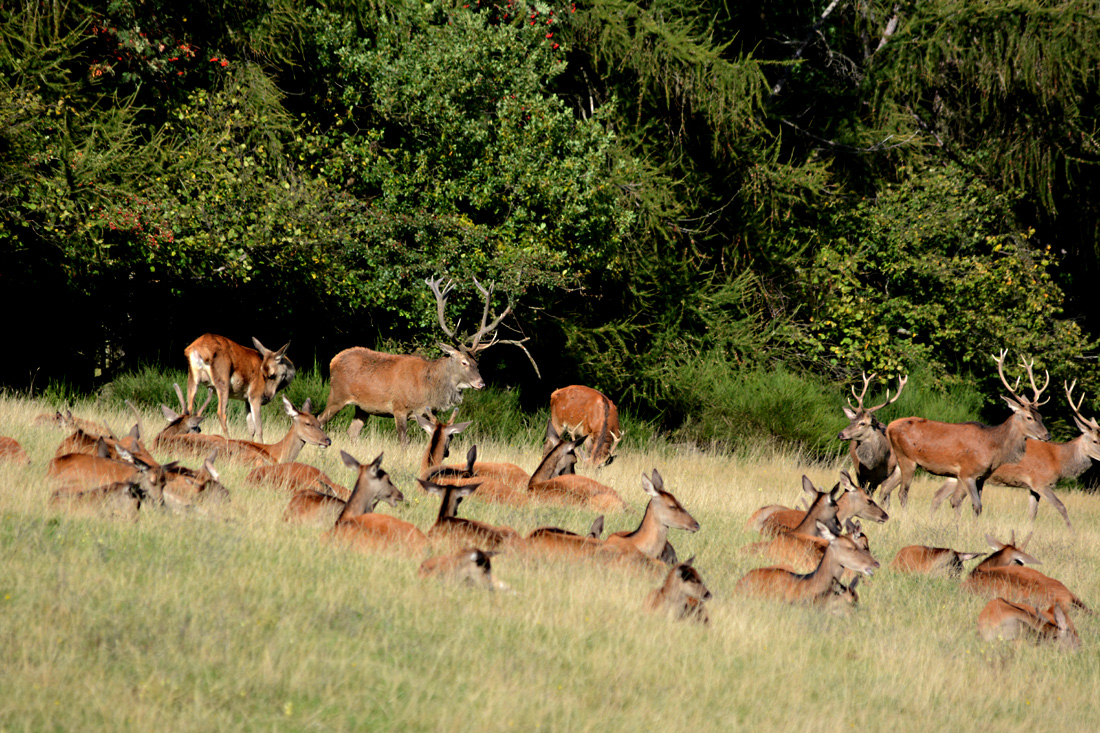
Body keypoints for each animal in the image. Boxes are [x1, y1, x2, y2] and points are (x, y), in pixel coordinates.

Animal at [319, 275, 532, 442]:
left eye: (477, 363)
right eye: (464, 362)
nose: (481, 384)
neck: (428, 389)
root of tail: (333, 359)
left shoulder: (429, 413)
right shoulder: (399, 408)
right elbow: (403, 442)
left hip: (362, 408)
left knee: (352, 433)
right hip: (337, 395)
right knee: (320, 420)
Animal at [875, 349, 1047, 512]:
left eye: (1040, 415)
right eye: (1029, 417)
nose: (1047, 435)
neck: (993, 448)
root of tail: (890, 426)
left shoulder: (980, 477)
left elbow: (966, 503)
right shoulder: (967, 473)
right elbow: (972, 504)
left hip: (900, 462)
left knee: (885, 489)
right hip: (908, 459)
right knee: (902, 492)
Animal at [928, 378, 1100, 528]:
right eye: (1095, 441)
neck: (1058, 460)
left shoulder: (1033, 487)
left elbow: (1032, 513)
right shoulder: (1040, 482)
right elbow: (1061, 507)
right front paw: (1072, 533)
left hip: (954, 475)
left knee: (937, 496)